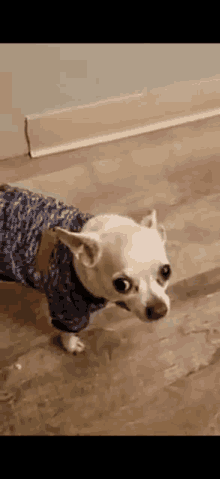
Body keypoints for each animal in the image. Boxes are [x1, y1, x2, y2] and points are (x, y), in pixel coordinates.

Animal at [0, 186, 171, 354]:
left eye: (166, 271)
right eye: (121, 284)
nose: (159, 310)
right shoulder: (67, 308)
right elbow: (68, 331)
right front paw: (71, 345)